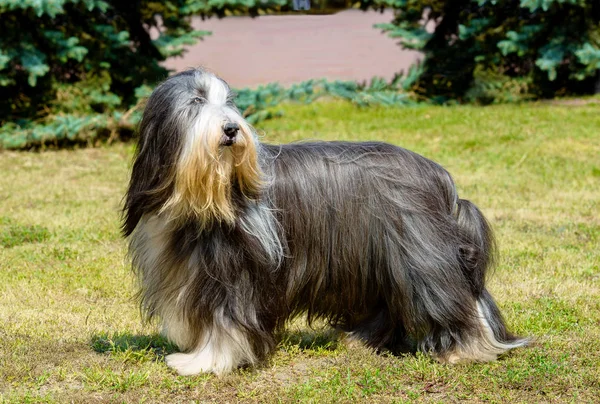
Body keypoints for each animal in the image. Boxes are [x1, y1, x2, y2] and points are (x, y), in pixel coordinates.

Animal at [122, 67, 524, 376]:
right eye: (196, 102)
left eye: (229, 103)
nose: (232, 129)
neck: (205, 195)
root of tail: (439, 175)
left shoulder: (234, 273)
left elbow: (224, 323)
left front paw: (202, 362)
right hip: (381, 259)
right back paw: (359, 339)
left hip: (421, 254)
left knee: (454, 295)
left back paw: (464, 349)